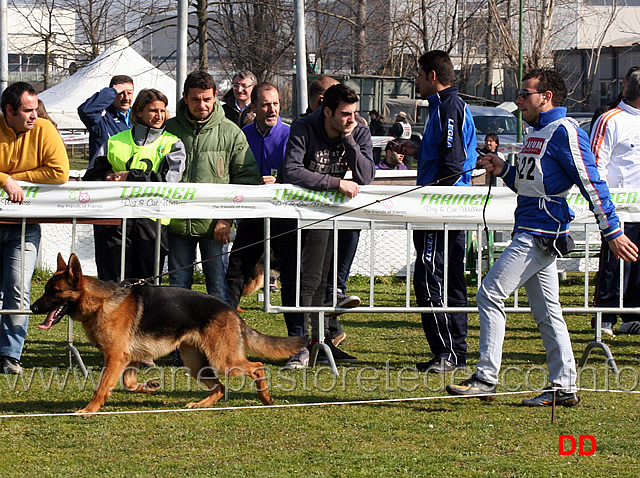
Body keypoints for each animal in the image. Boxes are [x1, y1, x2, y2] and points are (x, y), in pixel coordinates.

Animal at [31, 254, 306, 414]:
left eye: (53, 291)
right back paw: (199, 405)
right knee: (219, 388)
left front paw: (89, 410)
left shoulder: (116, 357)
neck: (101, 301)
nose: (32, 308)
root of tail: (229, 309)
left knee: (257, 366)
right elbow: (129, 384)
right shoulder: (128, 359)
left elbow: (102, 387)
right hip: (195, 364)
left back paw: (266, 397)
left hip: (224, 361)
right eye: (46, 290)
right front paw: (150, 386)